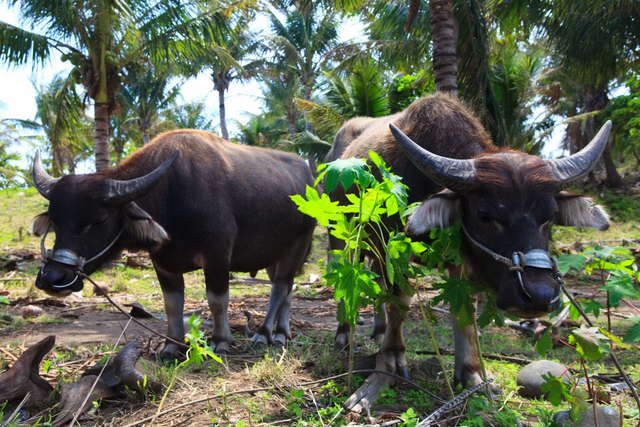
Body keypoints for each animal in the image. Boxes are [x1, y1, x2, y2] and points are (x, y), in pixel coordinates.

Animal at [31, 130, 316, 358]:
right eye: (55, 220)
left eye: (97, 220)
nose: (53, 278)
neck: (172, 195)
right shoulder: (163, 263)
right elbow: (172, 305)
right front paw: (172, 346)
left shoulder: (218, 256)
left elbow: (217, 300)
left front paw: (221, 340)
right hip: (274, 254)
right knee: (286, 289)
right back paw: (281, 331)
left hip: (300, 244)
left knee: (281, 287)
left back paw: (268, 332)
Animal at [328, 93, 612, 412]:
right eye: (485, 215)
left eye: (549, 216)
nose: (538, 296)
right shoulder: (392, 249)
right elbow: (398, 304)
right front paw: (387, 367)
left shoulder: (461, 263)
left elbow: (464, 314)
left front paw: (471, 373)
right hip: (341, 236)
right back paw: (345, 334)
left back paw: (378, 329)